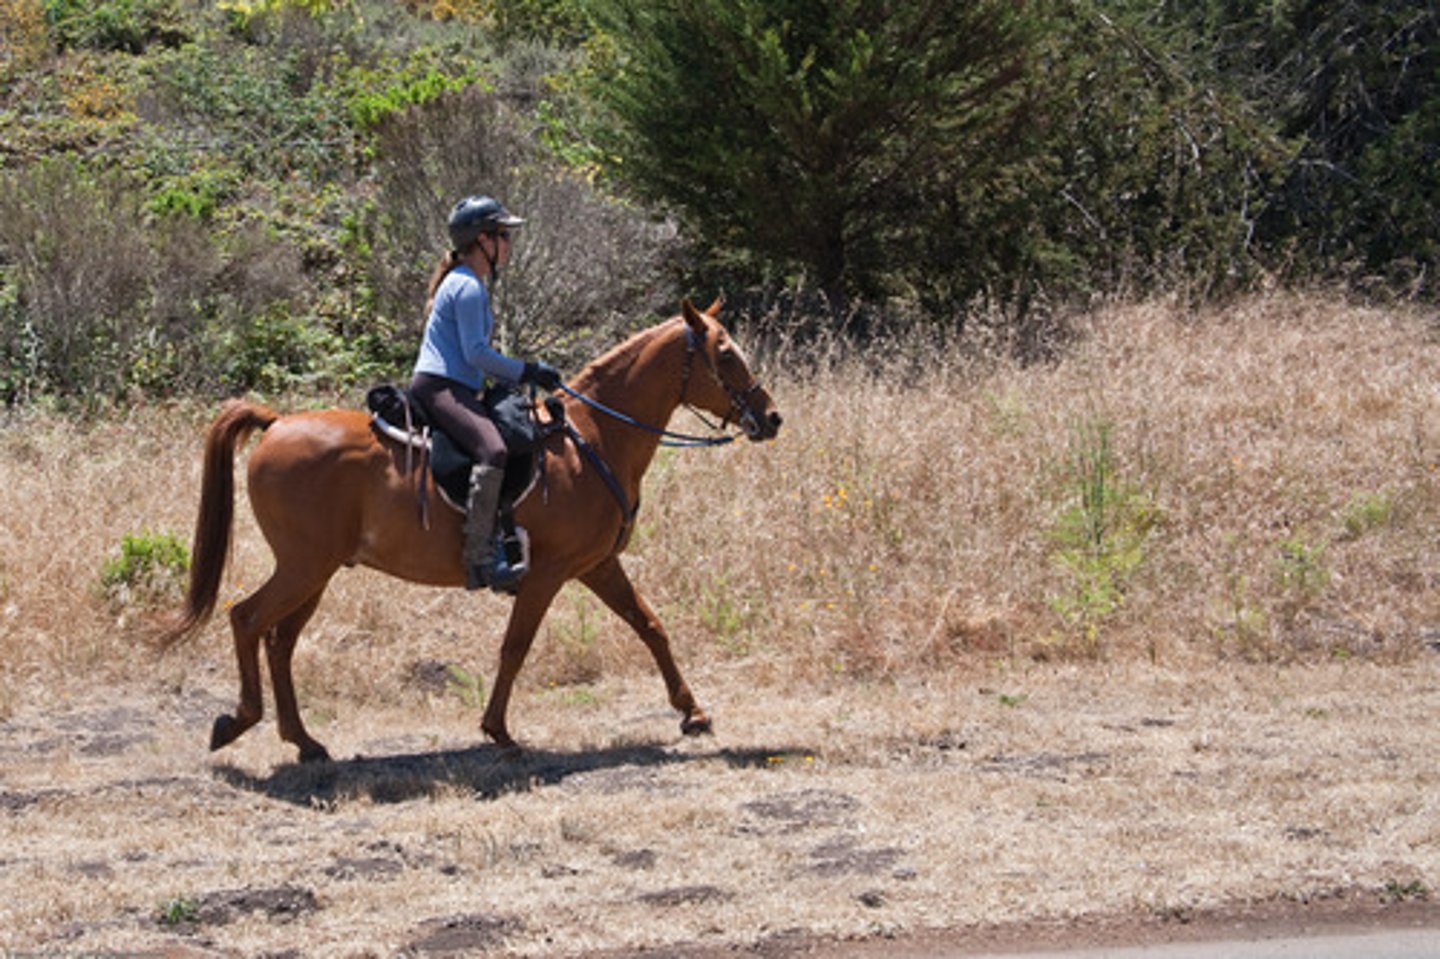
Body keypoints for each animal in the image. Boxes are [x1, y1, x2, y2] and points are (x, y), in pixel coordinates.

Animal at [162, 299, 782, 762]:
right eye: (725, 353)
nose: (771, 417)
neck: (595, 439)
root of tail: (276, 424)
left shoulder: (598, 565)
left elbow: (650, 626)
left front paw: (693, 712)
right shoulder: (549, 573)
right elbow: (515, 646)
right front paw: (498, 730)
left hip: (315, 572)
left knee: (280, 640)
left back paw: (305, 742)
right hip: (303, 566)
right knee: (247, 619)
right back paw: (238, 721)